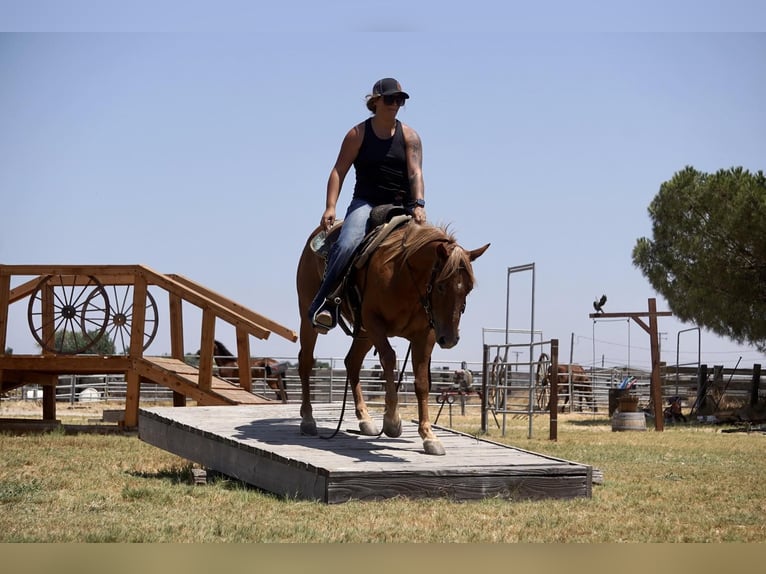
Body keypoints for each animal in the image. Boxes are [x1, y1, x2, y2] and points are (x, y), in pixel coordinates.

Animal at [296, 219, 489, 455]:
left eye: (468, 289)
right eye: (441, 286)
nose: (450, 339)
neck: (404, 276)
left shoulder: (425, 335)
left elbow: (422, 381)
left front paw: (429, 436)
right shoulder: (374, 322)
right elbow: (388, 358)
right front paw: (392, 420)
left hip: (363, 334)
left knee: (352, 362)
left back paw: (365, 419)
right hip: (310, 316)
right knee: (306, 361)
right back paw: (308, 419)